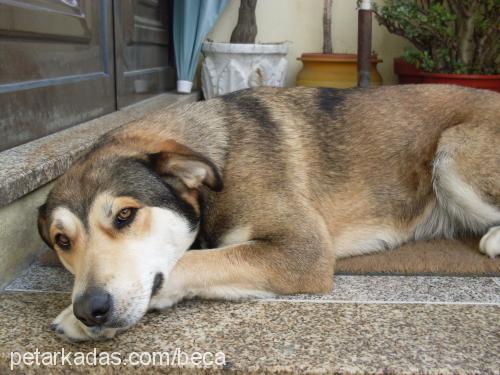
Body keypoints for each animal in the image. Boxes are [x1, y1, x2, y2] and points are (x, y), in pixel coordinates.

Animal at [38, 83, 500, 342]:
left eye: (125, 216)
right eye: (62, 241)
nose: (90, 309)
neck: (218, 164)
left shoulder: (303, 250)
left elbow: (189, 262)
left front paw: (76, 321)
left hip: (452, 156)